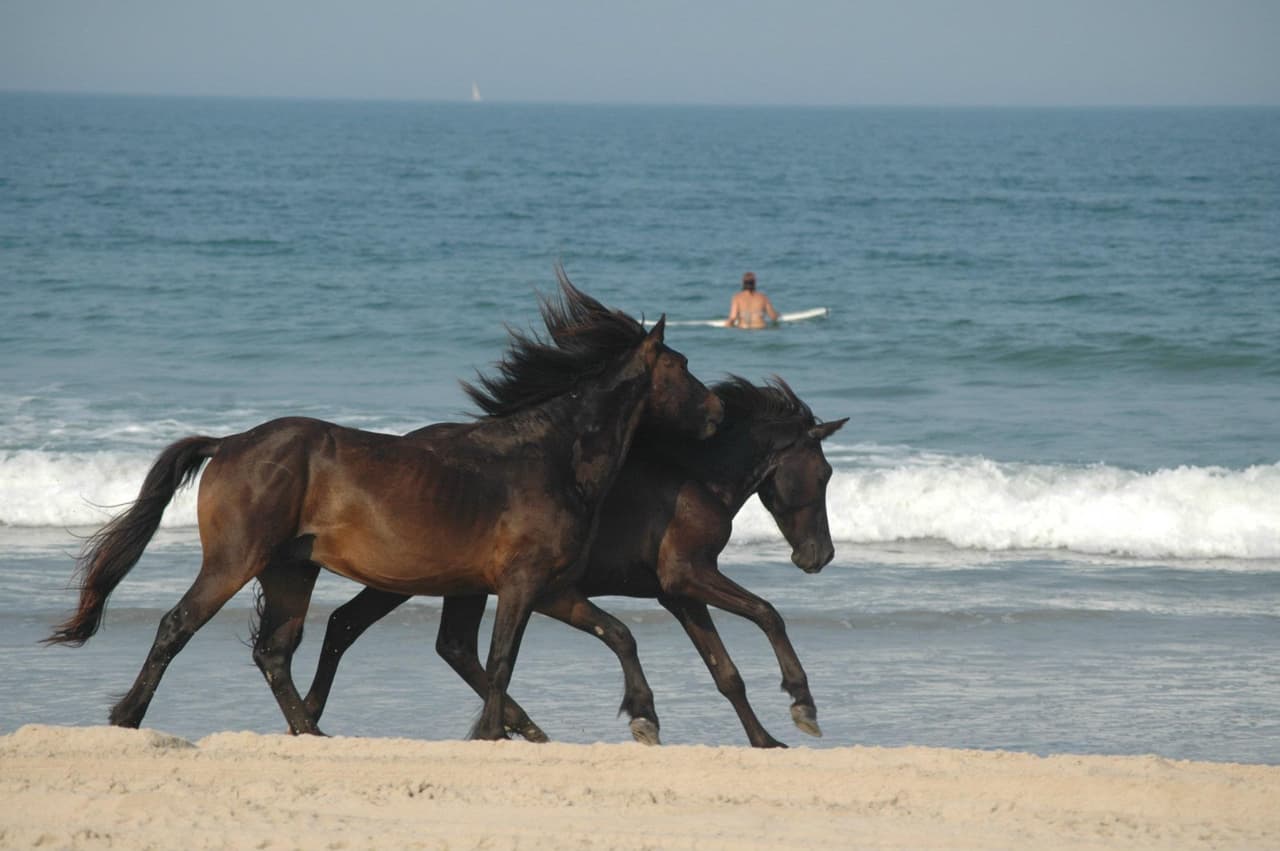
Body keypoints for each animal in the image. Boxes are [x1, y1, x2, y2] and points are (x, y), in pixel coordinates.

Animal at [46, 272, 723, 740]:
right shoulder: (521, 584)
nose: (717, 412)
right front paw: (492, 732)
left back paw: (312, 732)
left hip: (292, 570)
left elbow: (617, 634)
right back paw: (128, 717)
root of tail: (229, 442)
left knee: (275, 651)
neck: (551, 457)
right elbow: (502, 659)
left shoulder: (548, 587)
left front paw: (641, 719)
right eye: (685, 366)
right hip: (236, 561)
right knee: (178, 626)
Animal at [300, 376, 847, 747]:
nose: (818, 556)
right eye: (823, 473)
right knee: (376, 630)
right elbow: (766, 614)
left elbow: (725, 672)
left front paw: (766, 740)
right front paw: (802, 704)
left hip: (447, 581)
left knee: (419, 639)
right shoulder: (691, 575)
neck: (693, 476)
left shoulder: (678, 594)